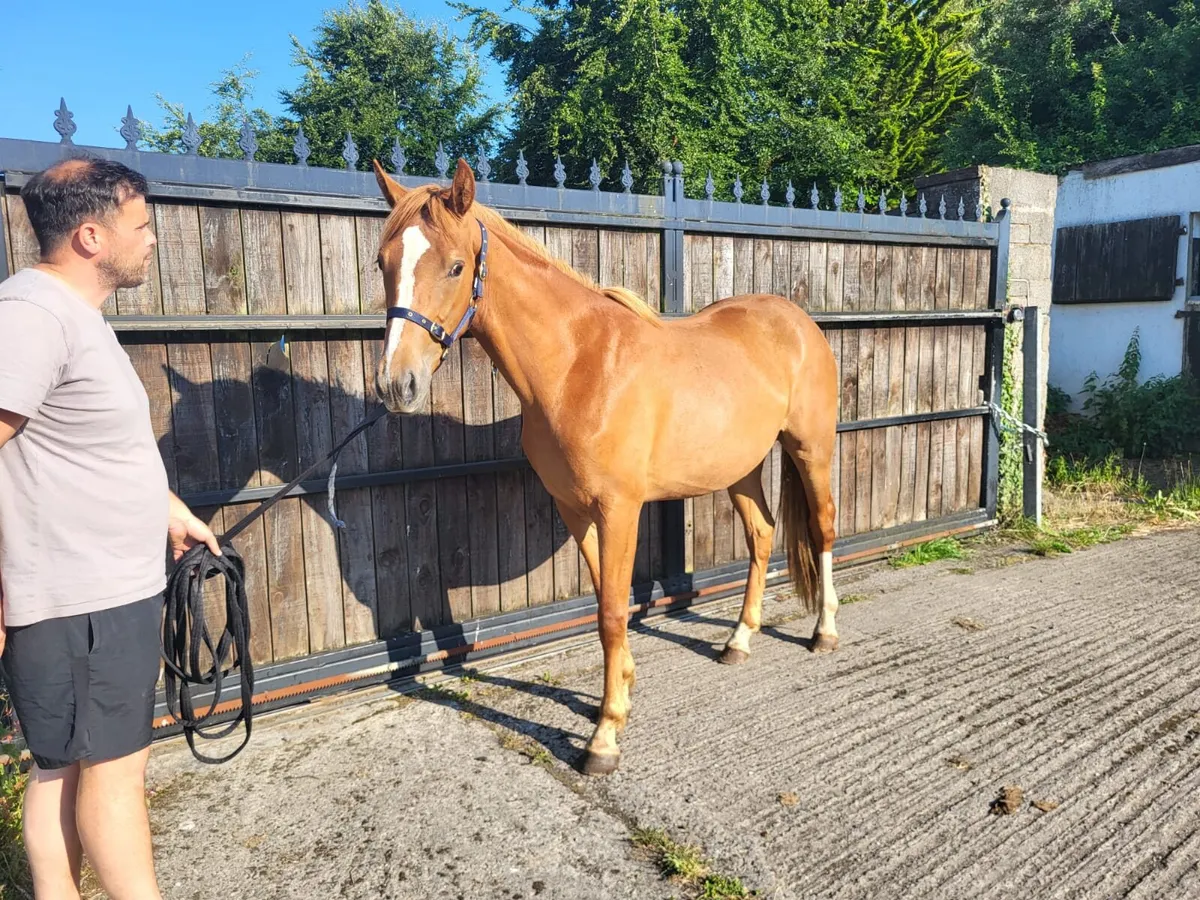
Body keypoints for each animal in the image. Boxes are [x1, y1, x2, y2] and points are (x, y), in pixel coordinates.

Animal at [370, 157, 841, 775]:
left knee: (824, 529)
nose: (395, 385)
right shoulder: (576, 510)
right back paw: (738, 641)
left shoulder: (620, 509)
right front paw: (619, 692)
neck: (579, 366)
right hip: (738, 467)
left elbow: (615, 611)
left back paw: (824, 633)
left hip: (812, 451)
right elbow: (602, 605)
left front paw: (604, 736)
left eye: (455, 266)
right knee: (762, 536)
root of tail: (796, 320)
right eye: (384, 262)